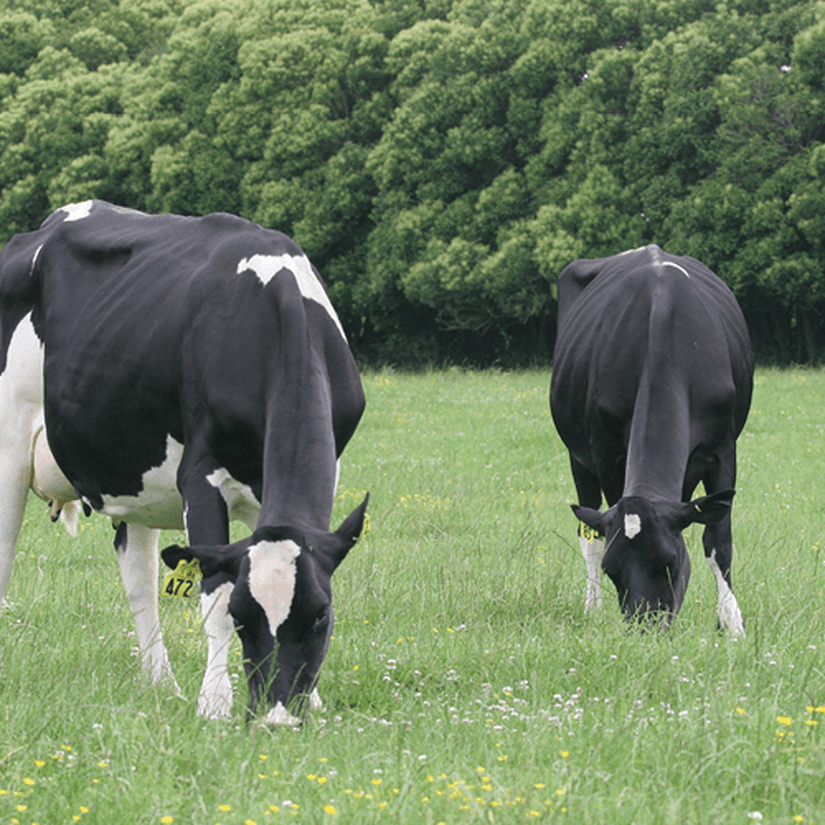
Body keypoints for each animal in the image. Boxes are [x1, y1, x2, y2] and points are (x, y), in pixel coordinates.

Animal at [0, 200, 368, 725]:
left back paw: (161, 684)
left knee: (139, 577)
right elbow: (212, 597)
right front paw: (214, 704)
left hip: (132, 470)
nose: (276, 717)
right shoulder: (201, 473)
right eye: (243, 618)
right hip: (9, 444)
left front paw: (313, 702)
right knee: (5, 554)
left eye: (320, 614)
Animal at [550, 244, 753, 633]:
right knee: (588, 534)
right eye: (614, 572)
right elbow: (603, 531)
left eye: (669, 561)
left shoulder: (723, 450)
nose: (645, 629)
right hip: (577, 458)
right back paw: (592, 607)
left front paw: (732, 624)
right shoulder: (607, 453)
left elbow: (718, 540)